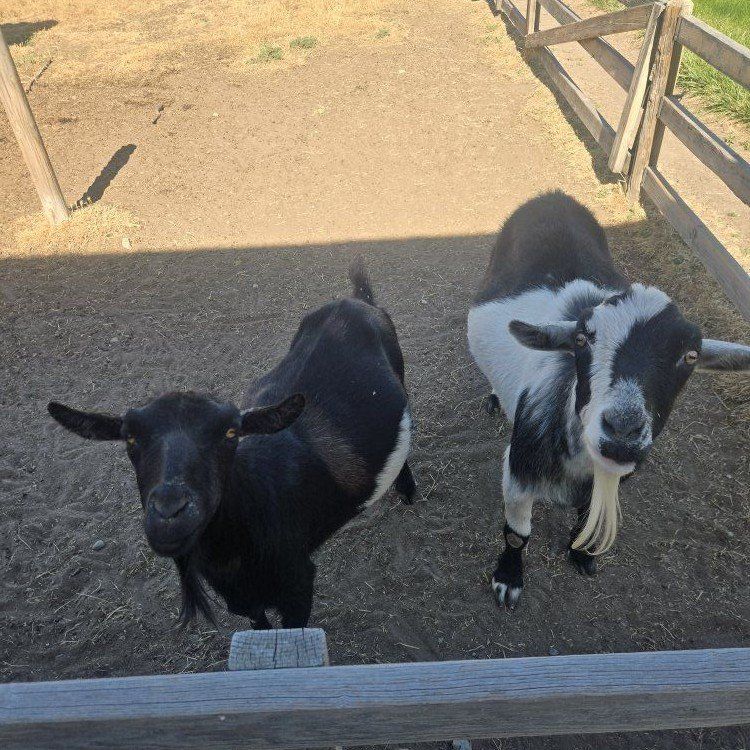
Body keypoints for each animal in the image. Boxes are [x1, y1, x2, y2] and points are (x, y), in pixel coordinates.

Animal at [48, 260, 416, 628]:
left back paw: (408, 492)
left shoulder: (297, 584)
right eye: (130, 437)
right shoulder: (242, 599)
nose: (169, 513)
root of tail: (354, 301)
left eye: (230, 433)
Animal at [468, 192, 750, 610]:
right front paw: (508, 579)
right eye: (582, 339)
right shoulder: (518, 471)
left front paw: (581, 554)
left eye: (691, 355)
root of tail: (553, 197)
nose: (622, 431)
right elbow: (517, 534)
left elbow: (587, 517)